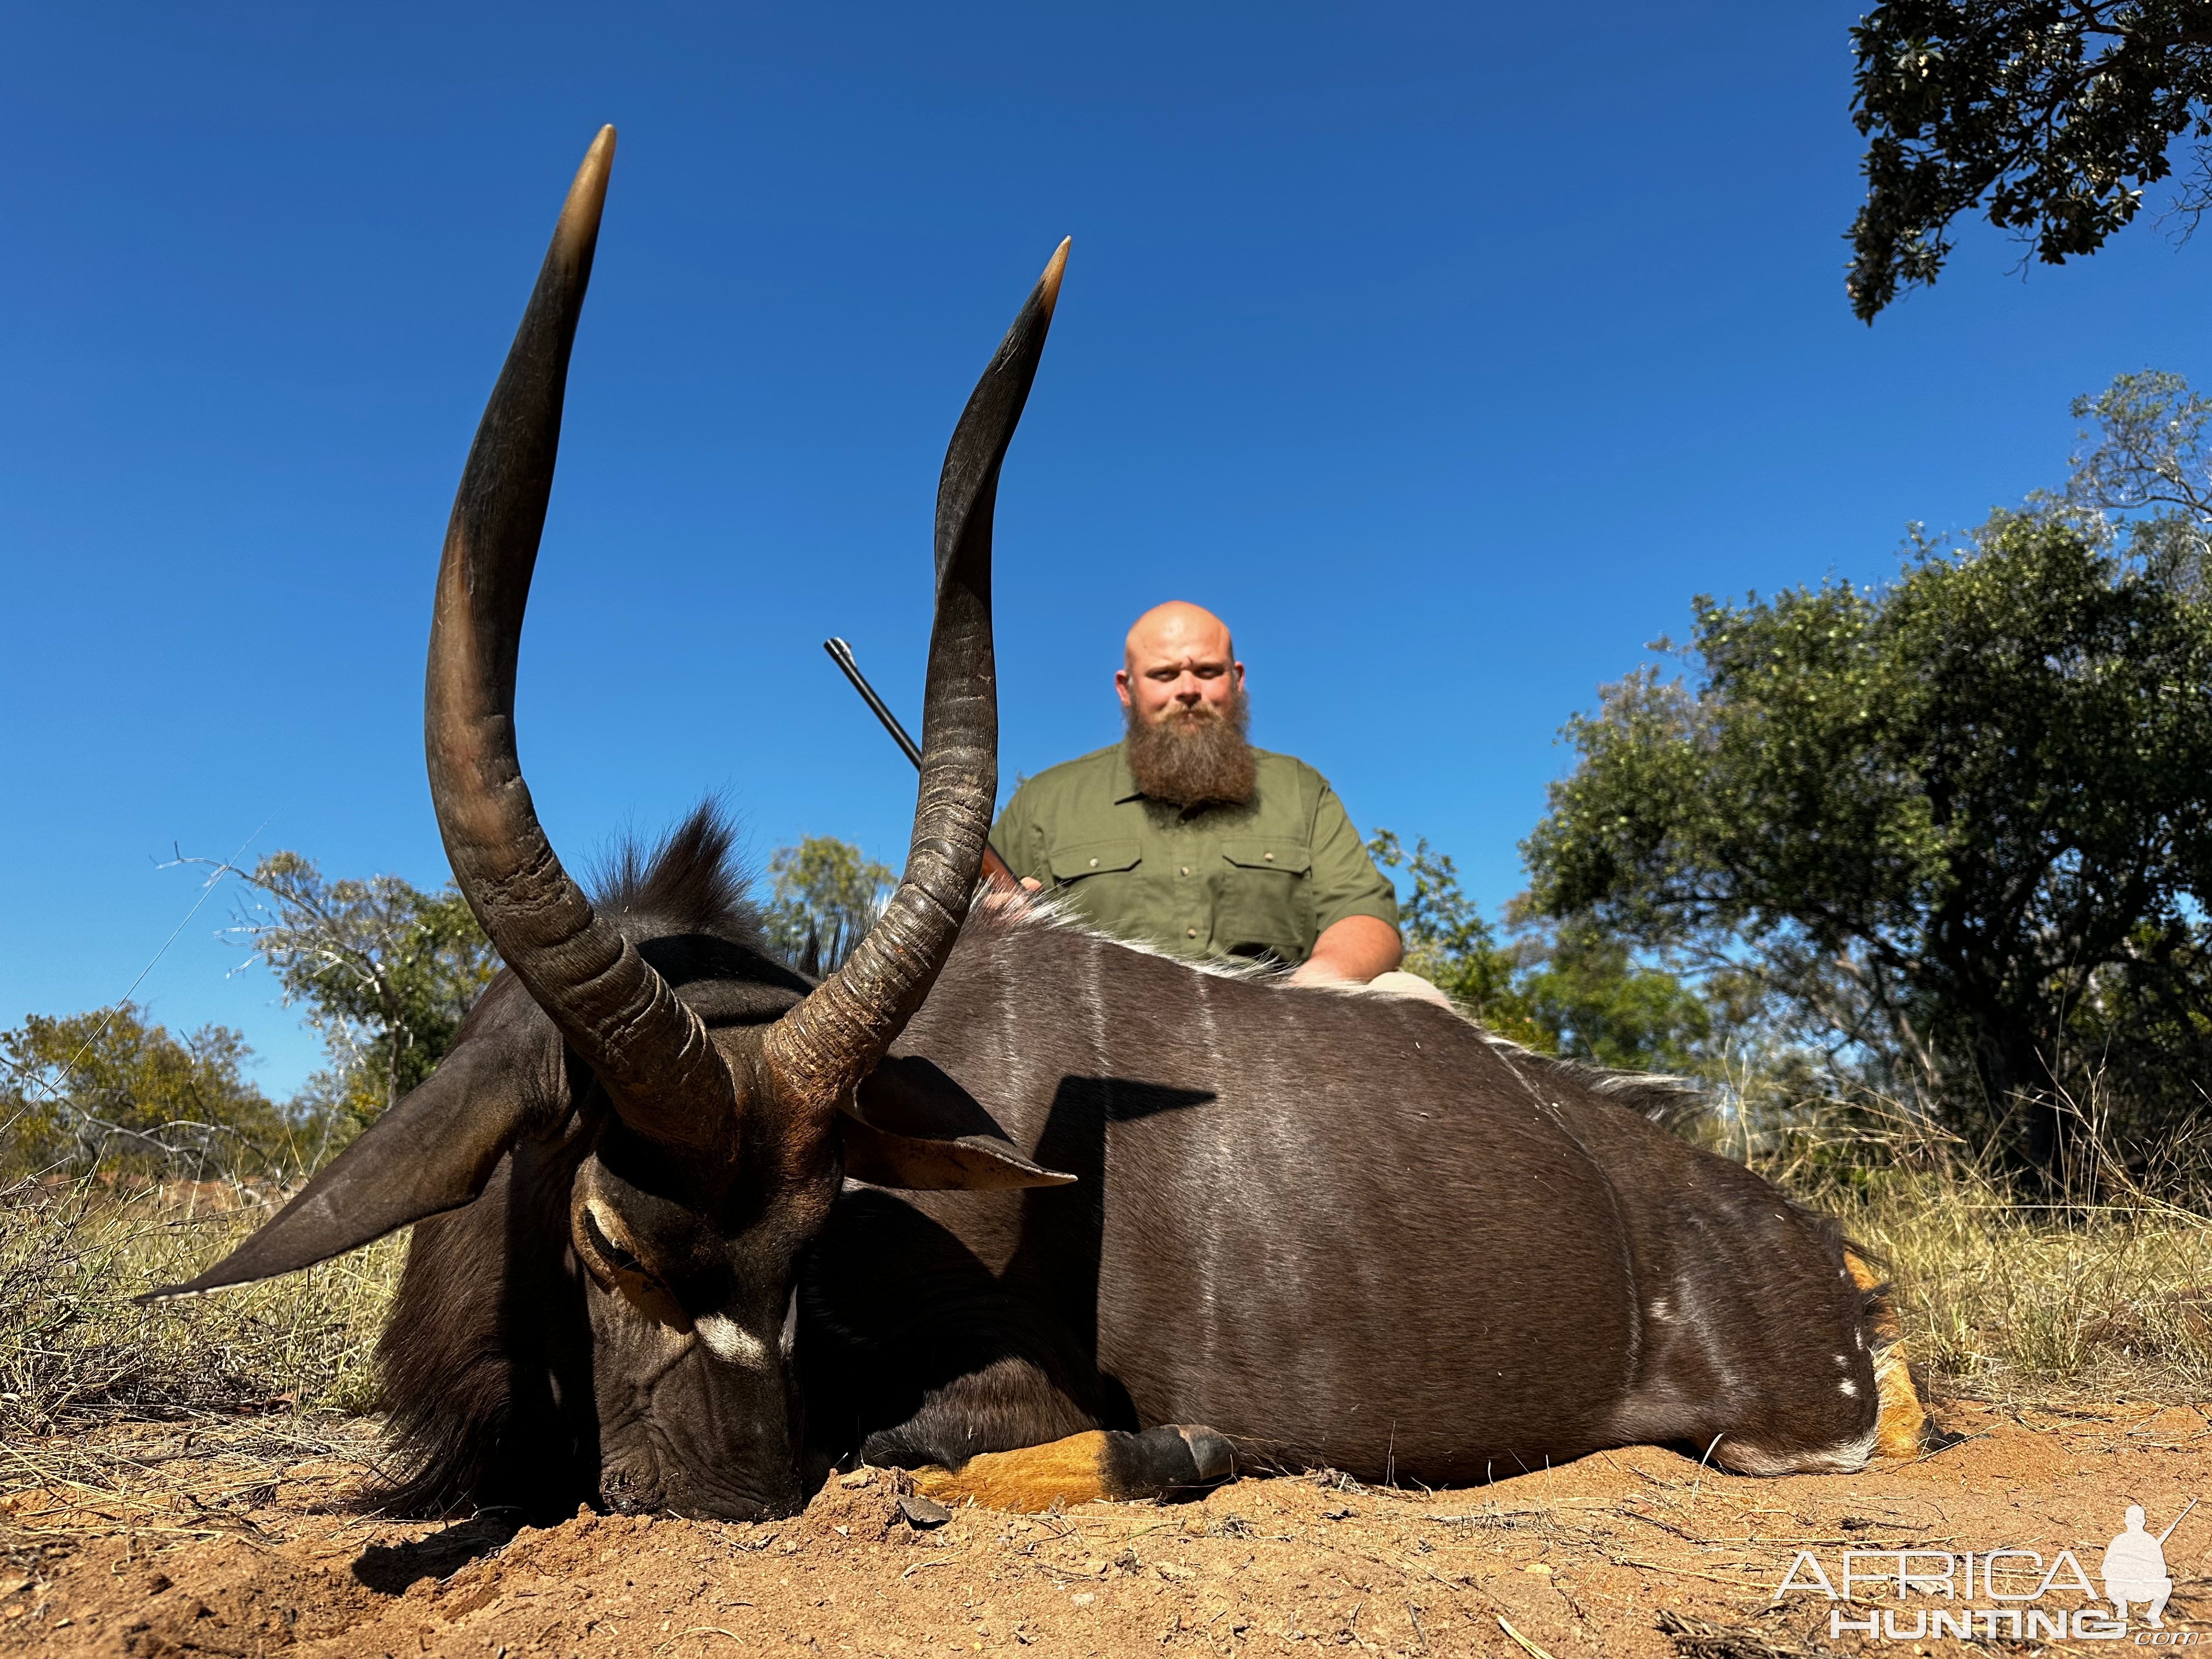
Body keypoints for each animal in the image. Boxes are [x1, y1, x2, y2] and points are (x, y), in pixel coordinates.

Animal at [151, 129, 1938, 1531]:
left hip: (1792, 1427)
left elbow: (967, 1443)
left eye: (816, 1237)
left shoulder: (1005, 1391)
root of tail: (1796, 1242)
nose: (721, 1497)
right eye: (602, 1231)